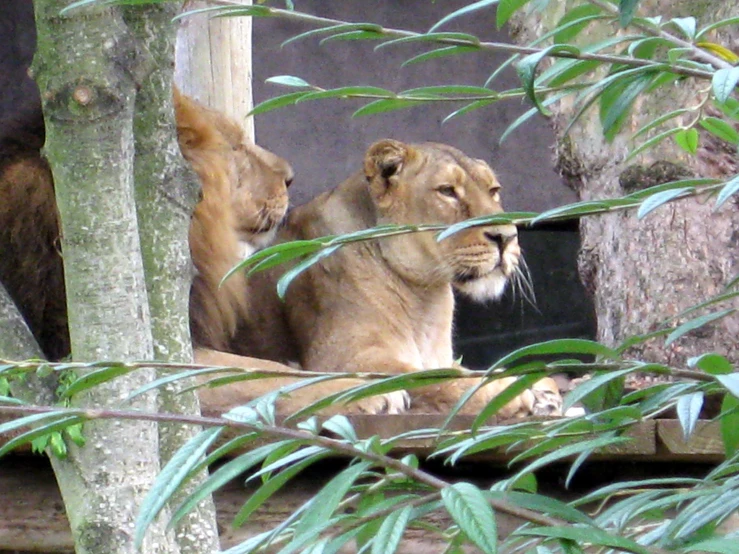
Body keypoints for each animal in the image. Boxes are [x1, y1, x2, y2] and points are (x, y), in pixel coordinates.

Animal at [237, 140, 560, 416]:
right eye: (447, 191)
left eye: (493, 190)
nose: (506, 237)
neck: (424, 294)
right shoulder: (347, 358)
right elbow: (434, 378)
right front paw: (509, 394)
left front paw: (541, 389)